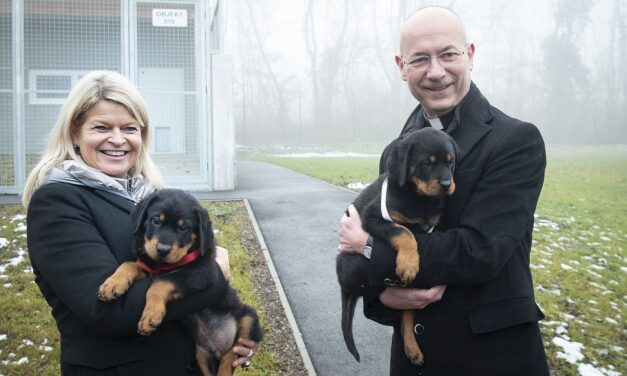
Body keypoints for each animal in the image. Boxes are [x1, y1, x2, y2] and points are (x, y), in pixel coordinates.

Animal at [97, 189, 262, 376]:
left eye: (184, 228)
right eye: (156, 220)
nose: (162, 250)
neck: (162, 265)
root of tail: (219, 349)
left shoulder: (203, 272)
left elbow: (161, 282)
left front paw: (151, 315)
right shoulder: (148, 268)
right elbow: (130, 264)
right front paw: (112, 284)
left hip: (248, 320)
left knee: (229, 358)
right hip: (200, 354)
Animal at [336, 128, 458, 366]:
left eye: (451, 162)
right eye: (426, 162)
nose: (447, 184)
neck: (418, 197)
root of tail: (343, 286)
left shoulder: (428, 227)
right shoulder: (373, 217)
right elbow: (405, 232)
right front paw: (408, 265)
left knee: (406, 311)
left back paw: (412, 348)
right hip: (358, 264)